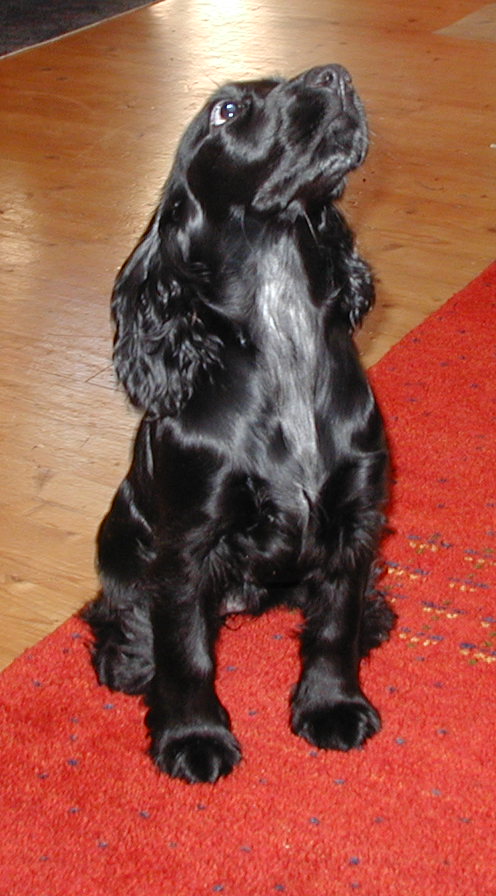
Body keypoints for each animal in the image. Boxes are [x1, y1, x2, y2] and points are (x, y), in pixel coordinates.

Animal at [84, 63, 396, 780]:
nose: (336, 75)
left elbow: (333, 624)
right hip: (119, 533)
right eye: (225, 111)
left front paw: (332, 705)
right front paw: (193, 737)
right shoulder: (185, 543)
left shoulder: (355, 515)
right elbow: (185, 651)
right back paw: (128, 658)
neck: (283, 328)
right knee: (119, 608)